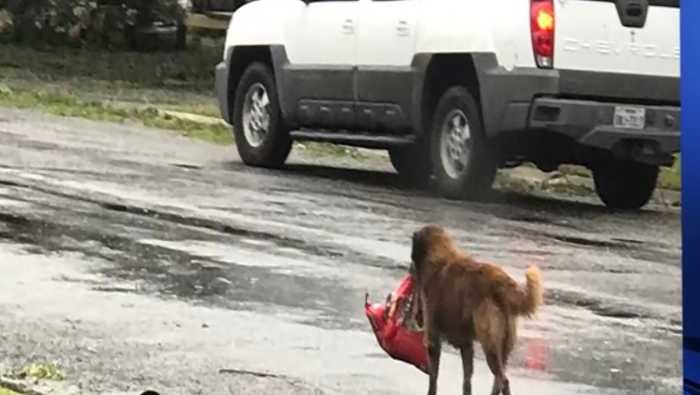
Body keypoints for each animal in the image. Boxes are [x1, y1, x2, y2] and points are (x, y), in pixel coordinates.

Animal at [412, 226, 544, 395]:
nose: (418, 317)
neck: (441, 257)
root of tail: (500, 282)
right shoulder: (466, 345)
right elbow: (467, 381)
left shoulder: (433, 341)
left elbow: (433, 378)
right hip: (503, 346)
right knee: (498, 381)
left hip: (490, 344)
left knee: (503, 380)